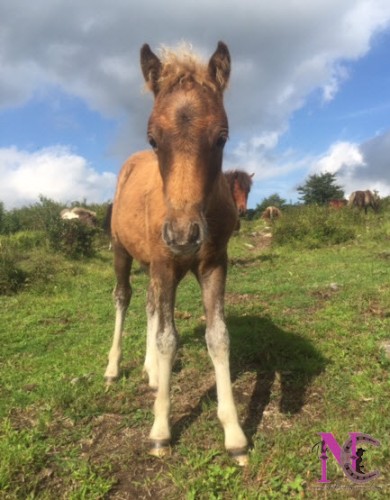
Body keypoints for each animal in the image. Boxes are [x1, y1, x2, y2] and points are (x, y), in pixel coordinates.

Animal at [104, 40, 247, 464]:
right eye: (153, 138)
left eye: (222, 137)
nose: (183, 235)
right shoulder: (166, 263)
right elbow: (169, 338)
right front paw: (160, 432)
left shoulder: (214, 264)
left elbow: (218, 336)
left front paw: (234, 434)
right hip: (123, 252)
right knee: (124, 297)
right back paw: (114, 368)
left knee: (151, 303)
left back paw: (151, 372)